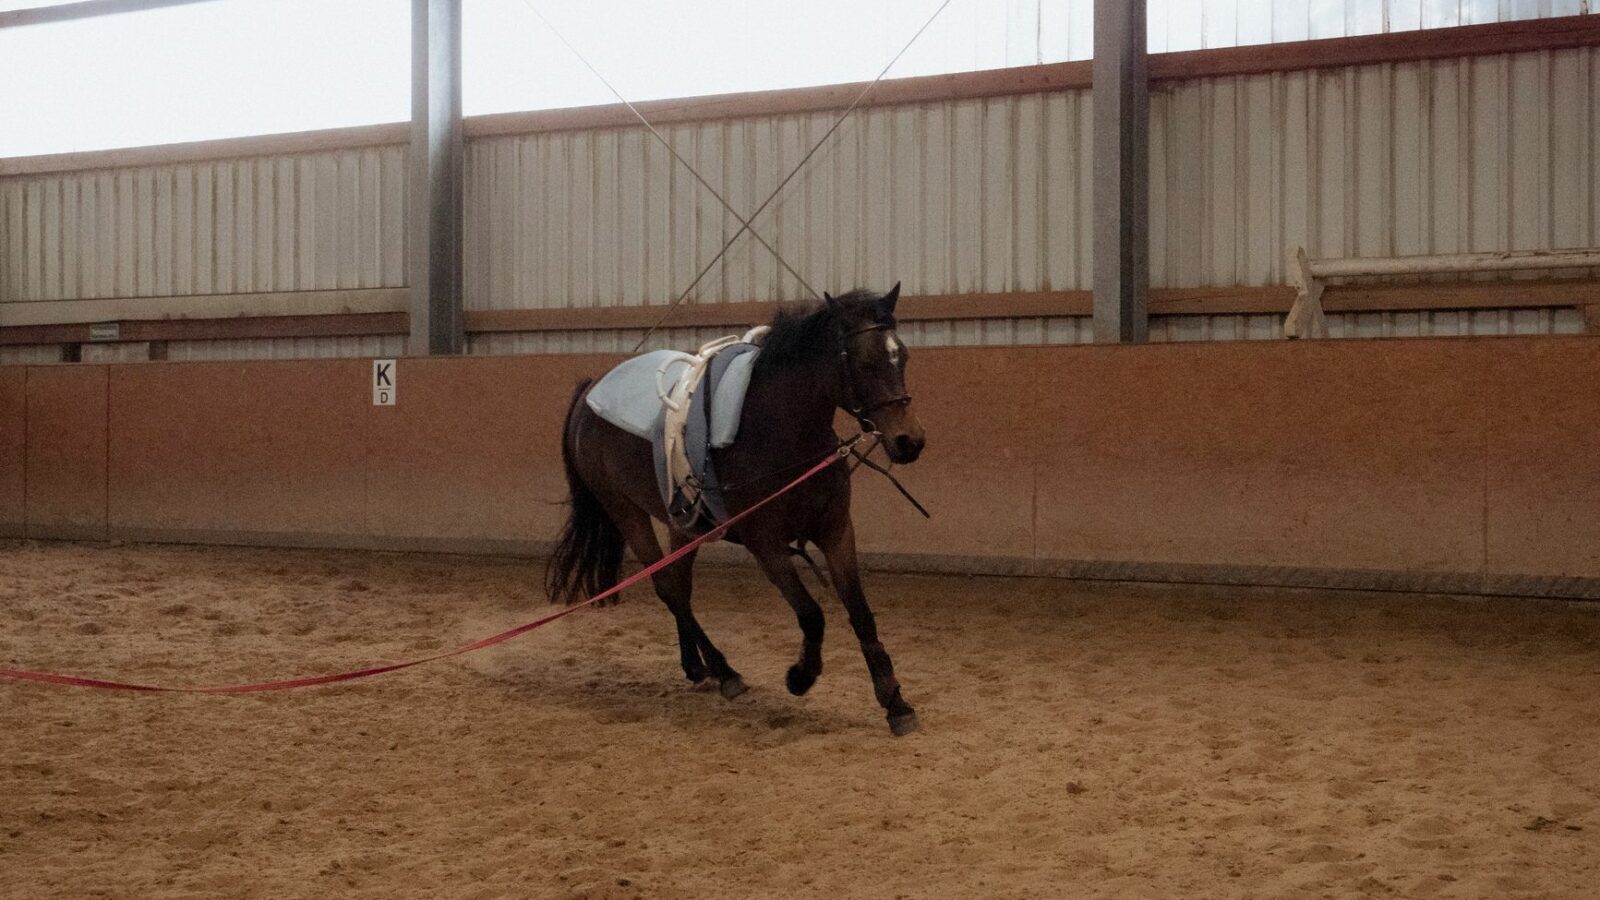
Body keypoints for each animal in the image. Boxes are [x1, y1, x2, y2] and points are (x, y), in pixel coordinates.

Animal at [547, 284, 927, 736]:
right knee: (668, 589)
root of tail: (591, 390)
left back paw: (699, 667)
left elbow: (861, 613)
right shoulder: (766, 544)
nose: (909, 441)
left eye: (903, 357)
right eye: (866, 363)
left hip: (684, 523)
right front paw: (800, 677)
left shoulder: (836, 531)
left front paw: (896, 702)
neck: (780, 432)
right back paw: (724, 671)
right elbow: (812, 614)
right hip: (626, 512)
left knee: (680, 588)